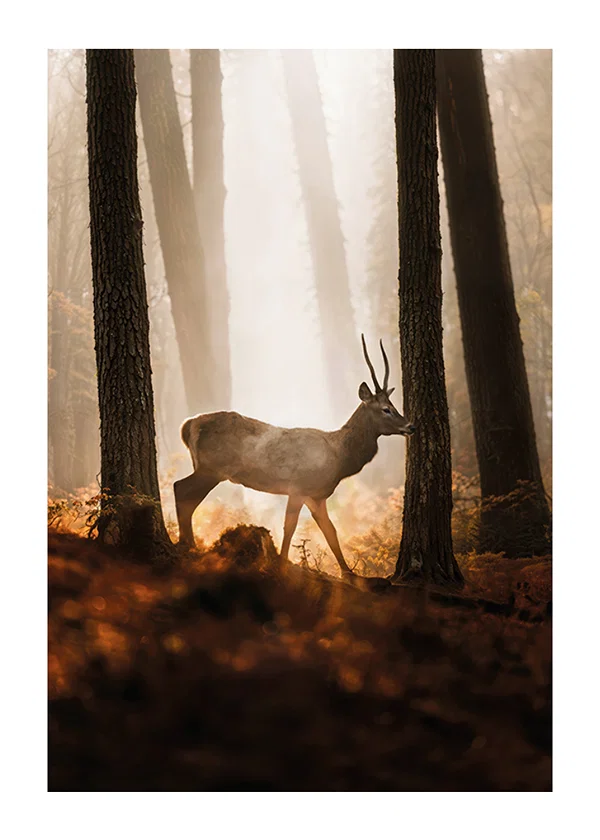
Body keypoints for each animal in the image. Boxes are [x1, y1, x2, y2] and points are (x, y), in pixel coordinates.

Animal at [174, 335, 416, 576]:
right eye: (386, 409)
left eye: (392, 405)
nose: (411, 426)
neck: (339, 458)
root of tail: (187, 425)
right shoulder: (299, 486)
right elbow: (290, 526)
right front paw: (282, 564)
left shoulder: (316, 495)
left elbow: (330, 531)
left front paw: (348, 573)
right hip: (211, 468)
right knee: (180, 489)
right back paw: (188, 546)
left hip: (208, 468)